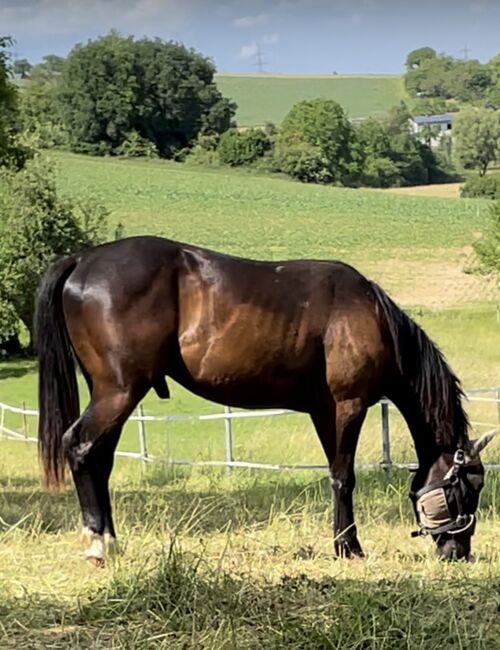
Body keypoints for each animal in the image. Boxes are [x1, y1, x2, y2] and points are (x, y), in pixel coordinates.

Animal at [36, 237, 496, 560]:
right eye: (468, 487)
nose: (458, 552)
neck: (372, 318)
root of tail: (82, 260)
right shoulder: (348, 406)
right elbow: (344, 477)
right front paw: (349, 547)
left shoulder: (324, 412)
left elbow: (334, 473)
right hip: (118, 392)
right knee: (80, 446)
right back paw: (97, 543)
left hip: (111, 394)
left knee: (99, 458)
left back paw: (111, 540)